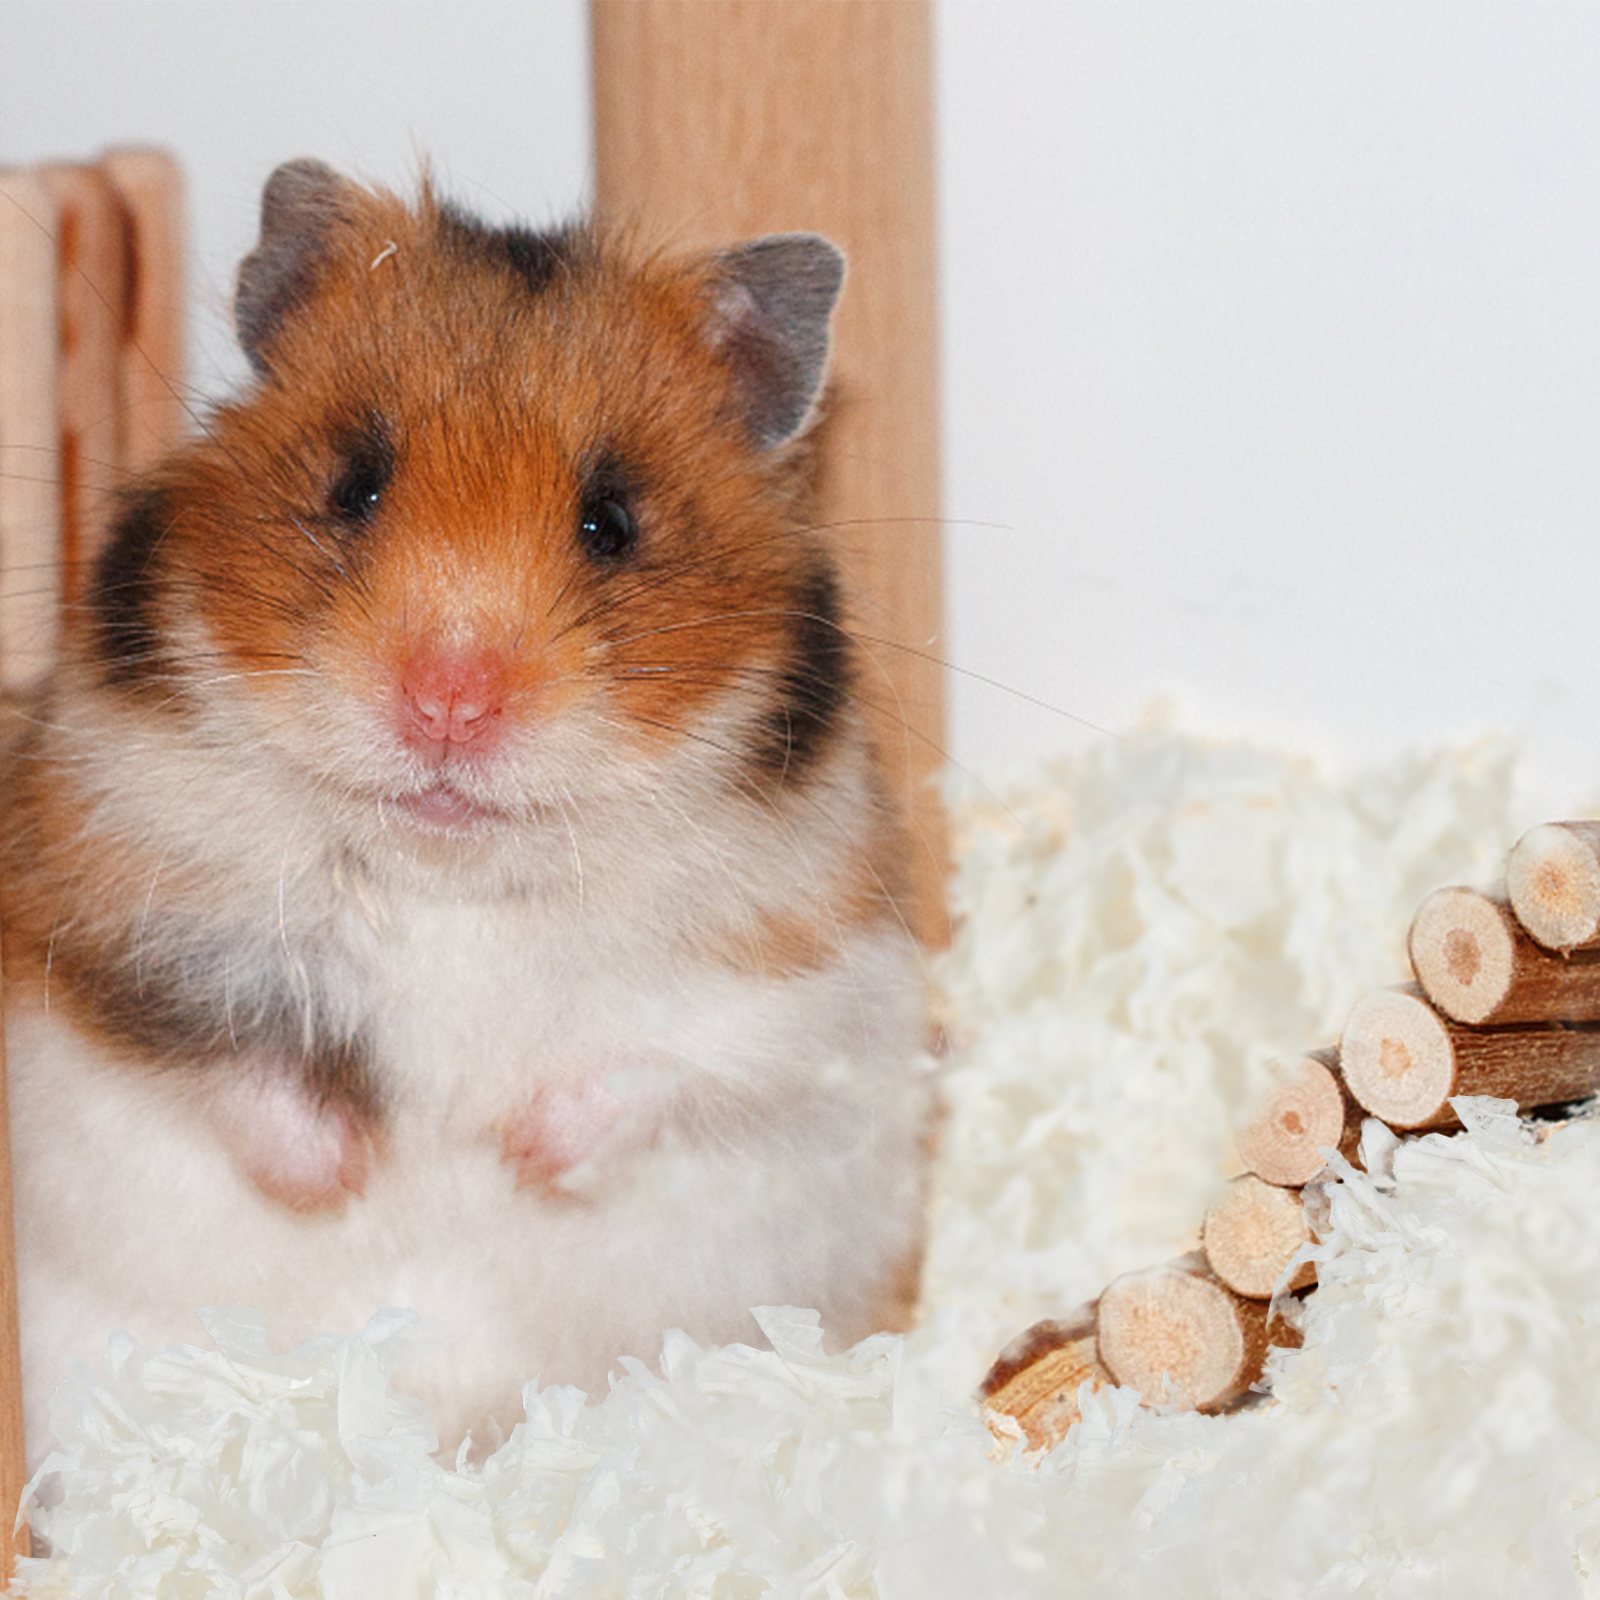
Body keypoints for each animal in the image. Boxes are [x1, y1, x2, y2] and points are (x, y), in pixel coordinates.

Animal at [0, 161, 931, 1464]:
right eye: (354, 483)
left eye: (611, 521)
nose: (448, 701)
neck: (452, 873)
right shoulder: (101, 908)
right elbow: (231, 1063)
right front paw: (351, 1175)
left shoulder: (813, 982)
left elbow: (667, 1063)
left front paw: (511, 1150)